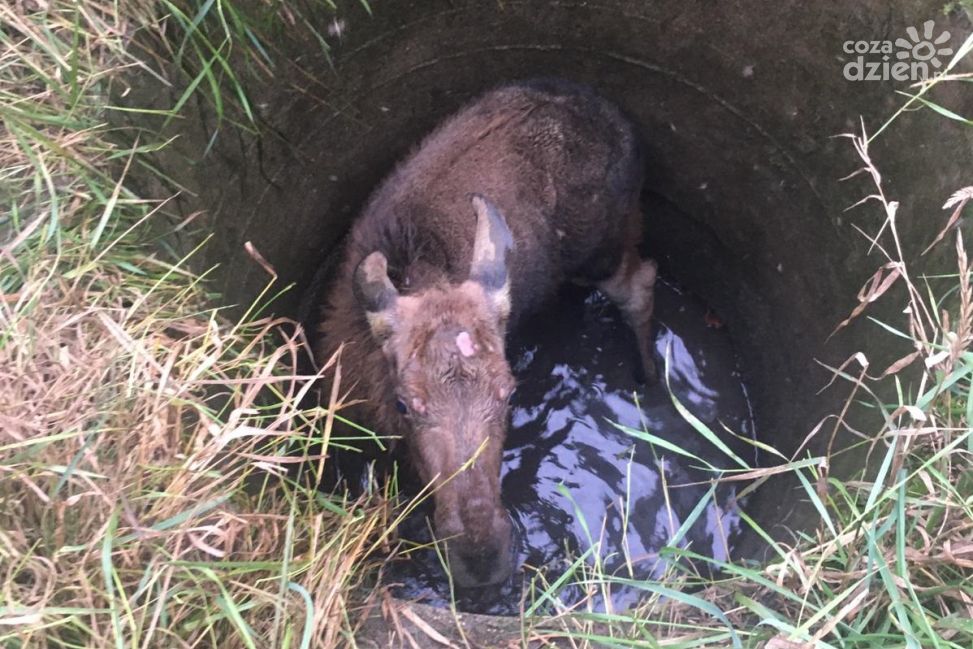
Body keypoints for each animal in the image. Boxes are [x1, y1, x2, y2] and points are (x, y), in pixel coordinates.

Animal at [316, 79, 656, 588]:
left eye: (509, 390)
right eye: (403, 403)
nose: (481, 557)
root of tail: (624, 125)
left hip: (603, 250)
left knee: (642, 283)